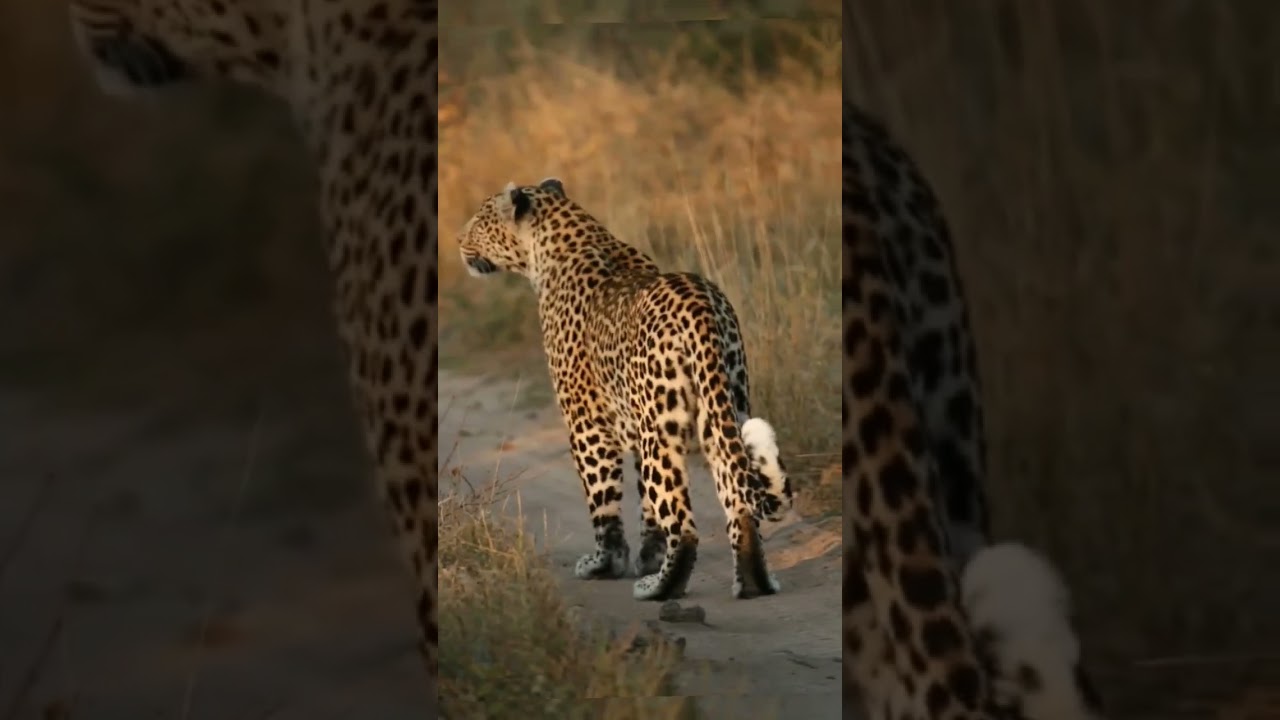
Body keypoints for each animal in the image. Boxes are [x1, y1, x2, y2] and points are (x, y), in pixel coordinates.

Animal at [456, 178, 794, 601]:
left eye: (479, 220)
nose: (457, 241)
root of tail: (701, 303)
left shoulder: (586, 422)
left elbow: (602, 497)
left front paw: (606, 563)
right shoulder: (634, 420)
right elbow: (645, 505)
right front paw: (647, 558)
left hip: (663, 431)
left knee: (684, 525)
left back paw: (658, 588)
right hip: (724, 406)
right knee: (738, 501)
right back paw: (752, 582)